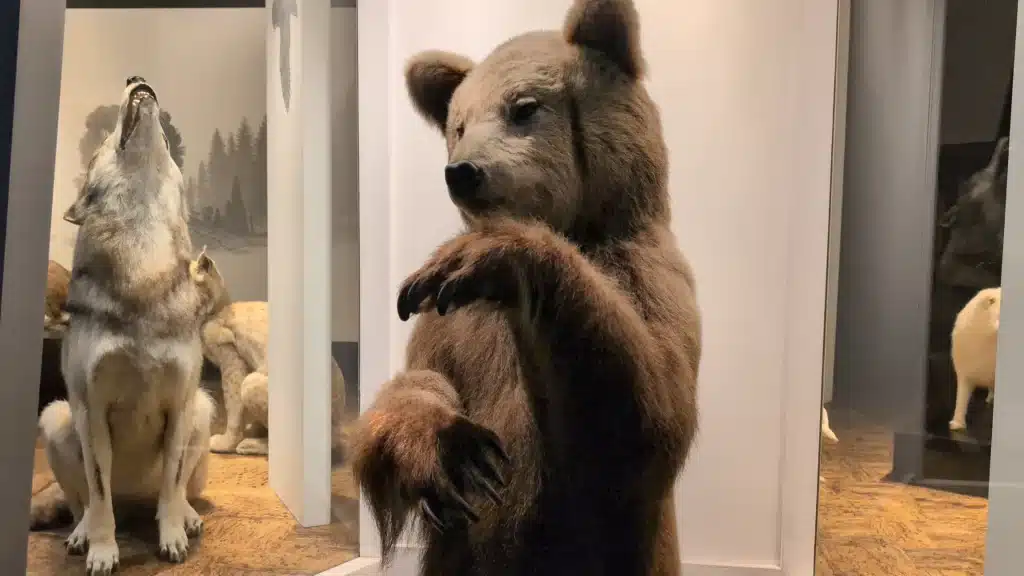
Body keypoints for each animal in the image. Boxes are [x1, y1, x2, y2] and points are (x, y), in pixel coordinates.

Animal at [348, 1, 701, 574]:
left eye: (524, 107)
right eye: (458, 124)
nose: (462, 171)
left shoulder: (646, 274)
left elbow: (647, 415)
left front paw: (501, 252)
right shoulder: (449, 322)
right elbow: (418, 381)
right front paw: (460, 455)